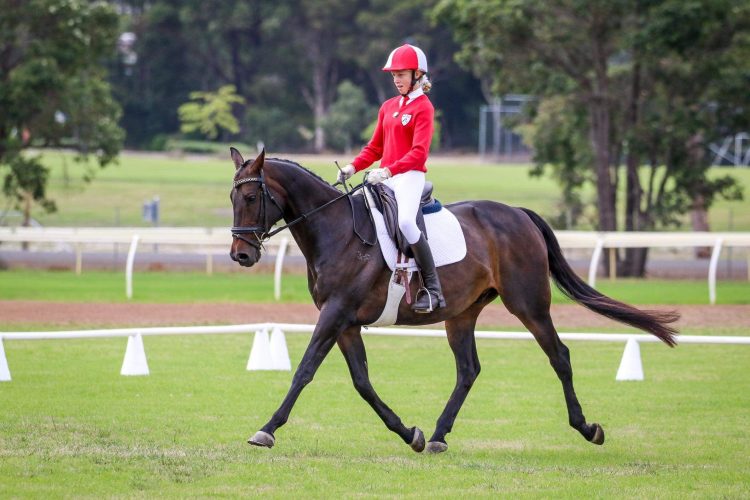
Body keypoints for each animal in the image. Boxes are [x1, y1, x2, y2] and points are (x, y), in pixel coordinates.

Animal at [229, 147, 680, 454]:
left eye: (251, 198)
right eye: (233, 198)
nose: (241, 255)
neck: (336, 229)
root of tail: (517, 213)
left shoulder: (336, 315)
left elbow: (304, 371)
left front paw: (267, 429)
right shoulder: (345, 322)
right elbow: (362, 382)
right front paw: (409, 433)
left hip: (529, 305)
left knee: (560, 356)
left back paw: (587, 428)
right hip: (461, 314)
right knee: (468, 370)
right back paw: (438, 436)